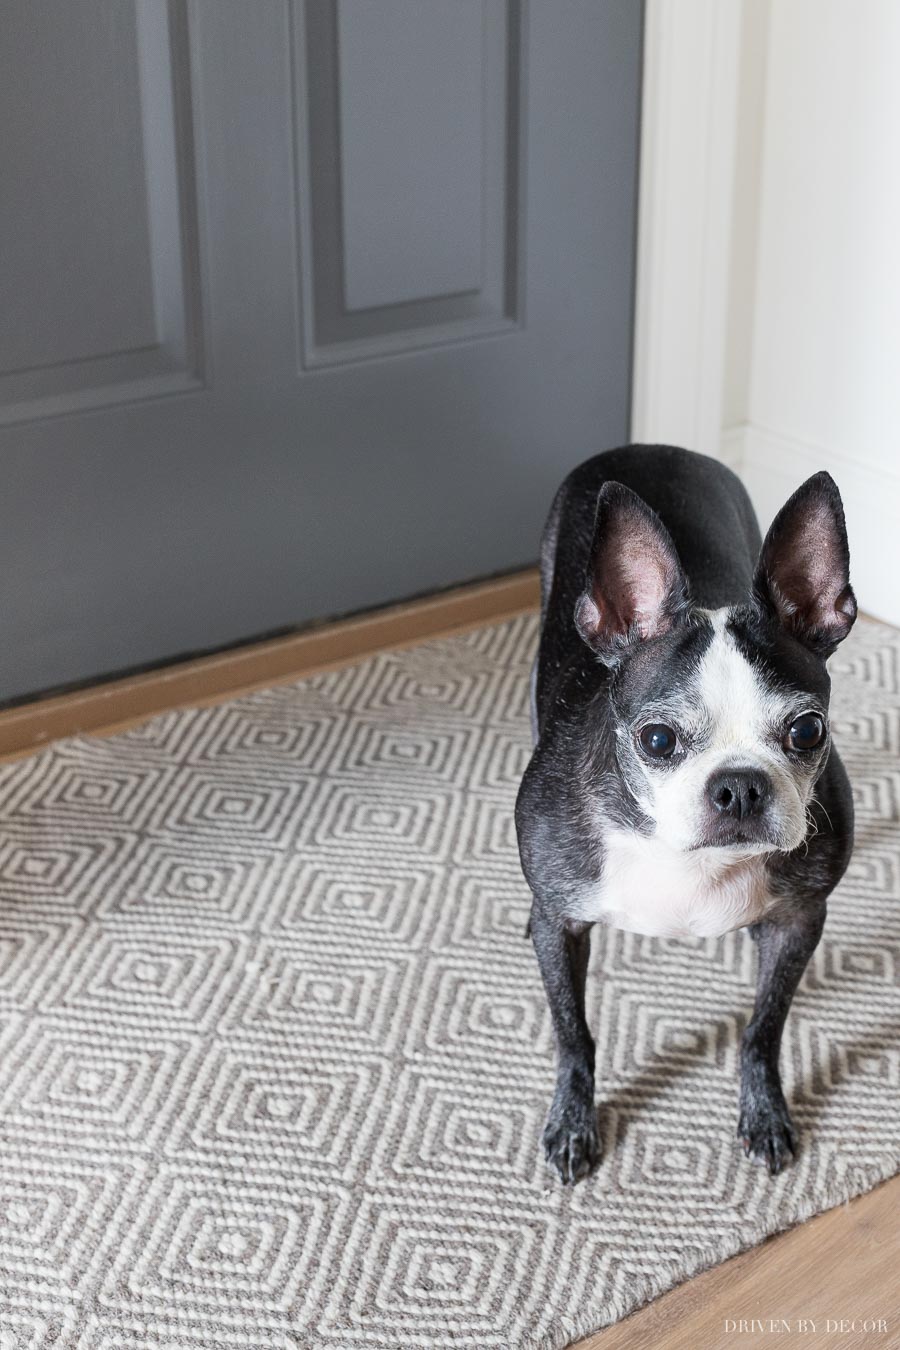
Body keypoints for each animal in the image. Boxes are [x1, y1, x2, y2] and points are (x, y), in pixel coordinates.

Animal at [518, 445, 858, 1182]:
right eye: (656, 741)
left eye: (808, 731)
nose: (739, 787)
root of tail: (650, 448)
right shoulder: (557, 922)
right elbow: (572, 1033)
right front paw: (573, 1123)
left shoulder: (799, 920)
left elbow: (763, 1028)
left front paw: (765, 1112)